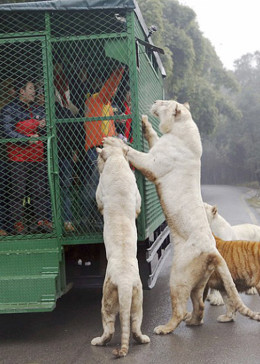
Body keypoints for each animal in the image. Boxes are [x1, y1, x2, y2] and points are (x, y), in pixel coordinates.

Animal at [91, 144, 149, 356]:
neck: (116, 160)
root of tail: (124, 282)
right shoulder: (136, 196)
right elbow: (138, 206)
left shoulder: (100, 193)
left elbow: (99, 203)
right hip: (138, 299)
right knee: (135, 325)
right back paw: (144, 339)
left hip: (106, 301)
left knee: (109, 328)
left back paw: (97, 341)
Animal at [103, 99, 260, 332]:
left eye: (164, 103)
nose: (156, 101)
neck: (179, 128)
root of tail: (213, 250)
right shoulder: (158, 147)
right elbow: (153, 137)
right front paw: (145, 124)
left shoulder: (154, 163)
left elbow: (133, 152)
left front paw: (114, 142)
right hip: (199, 281)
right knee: (199, 306)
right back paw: (193, 321)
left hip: (178, 276)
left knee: (179, 309)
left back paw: (164, 329)